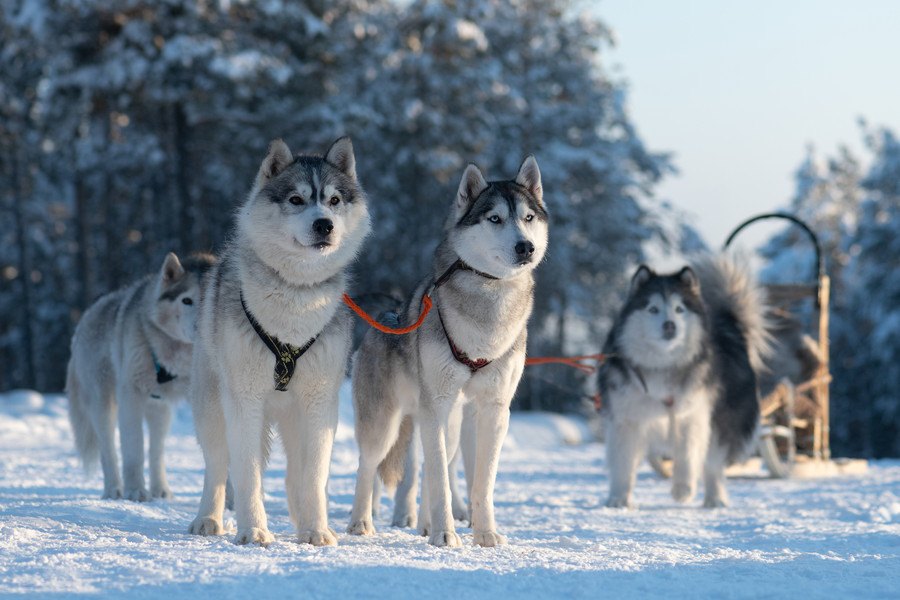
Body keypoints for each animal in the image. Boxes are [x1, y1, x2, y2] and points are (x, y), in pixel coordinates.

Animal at [66, 252, 215, 502]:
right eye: (187, 300)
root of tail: (90, 311)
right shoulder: (130, 398)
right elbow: (134, 451)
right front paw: (135, 491)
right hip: (103, 406)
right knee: (109, 451)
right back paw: (114, 490)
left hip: (160, 411)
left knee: (156, 451)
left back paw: (160, 489)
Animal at [188, 138, 370, 548]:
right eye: (296, 199)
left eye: (334, 200)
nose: (324, 224)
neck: (295, 297)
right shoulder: (244, 400)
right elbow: (247, 475)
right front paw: (253, 530)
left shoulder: (319, 404)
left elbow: (314, 478)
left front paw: (316, 530)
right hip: (214, 411)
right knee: (217, 467)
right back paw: (208, 519)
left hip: (293, 417)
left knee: (296, 476)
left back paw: (306, 523)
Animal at [348, 156, 548, 548]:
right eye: (495, 218)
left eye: (528, 217)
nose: (525, 247)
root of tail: (389, 314)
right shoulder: (436, 405)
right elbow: (439, 479)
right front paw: (445, 533)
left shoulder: (494, 409)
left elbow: (481, 483)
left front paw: (485, 533)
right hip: (386, 423)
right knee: (369, 465)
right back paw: (361, 522)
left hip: (450, 424)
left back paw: (423, 523)